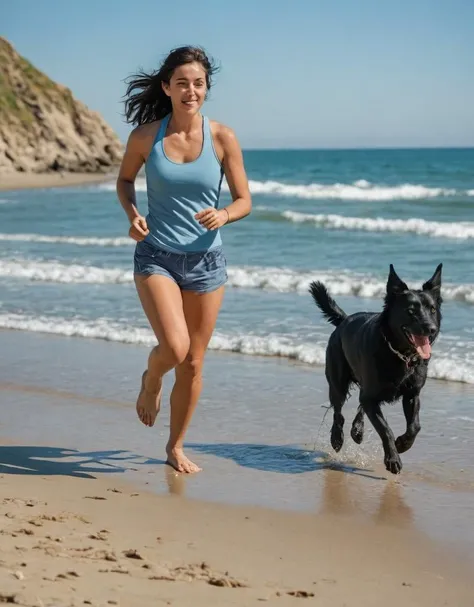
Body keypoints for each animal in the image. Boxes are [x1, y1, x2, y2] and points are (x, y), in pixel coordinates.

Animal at [310, 264, 442, 476]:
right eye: (411, 311)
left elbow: (415, 426)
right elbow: (384, 428)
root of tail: (344, 320)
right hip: (337, 381)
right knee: (338, 411)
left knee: (359, 404)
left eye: (432, 309)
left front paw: (402, 444)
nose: (431, 328)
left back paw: (357, 430)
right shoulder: (372, 397)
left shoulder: (412, 394)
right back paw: (337, 438)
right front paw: (393, 459)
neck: (399, 354)